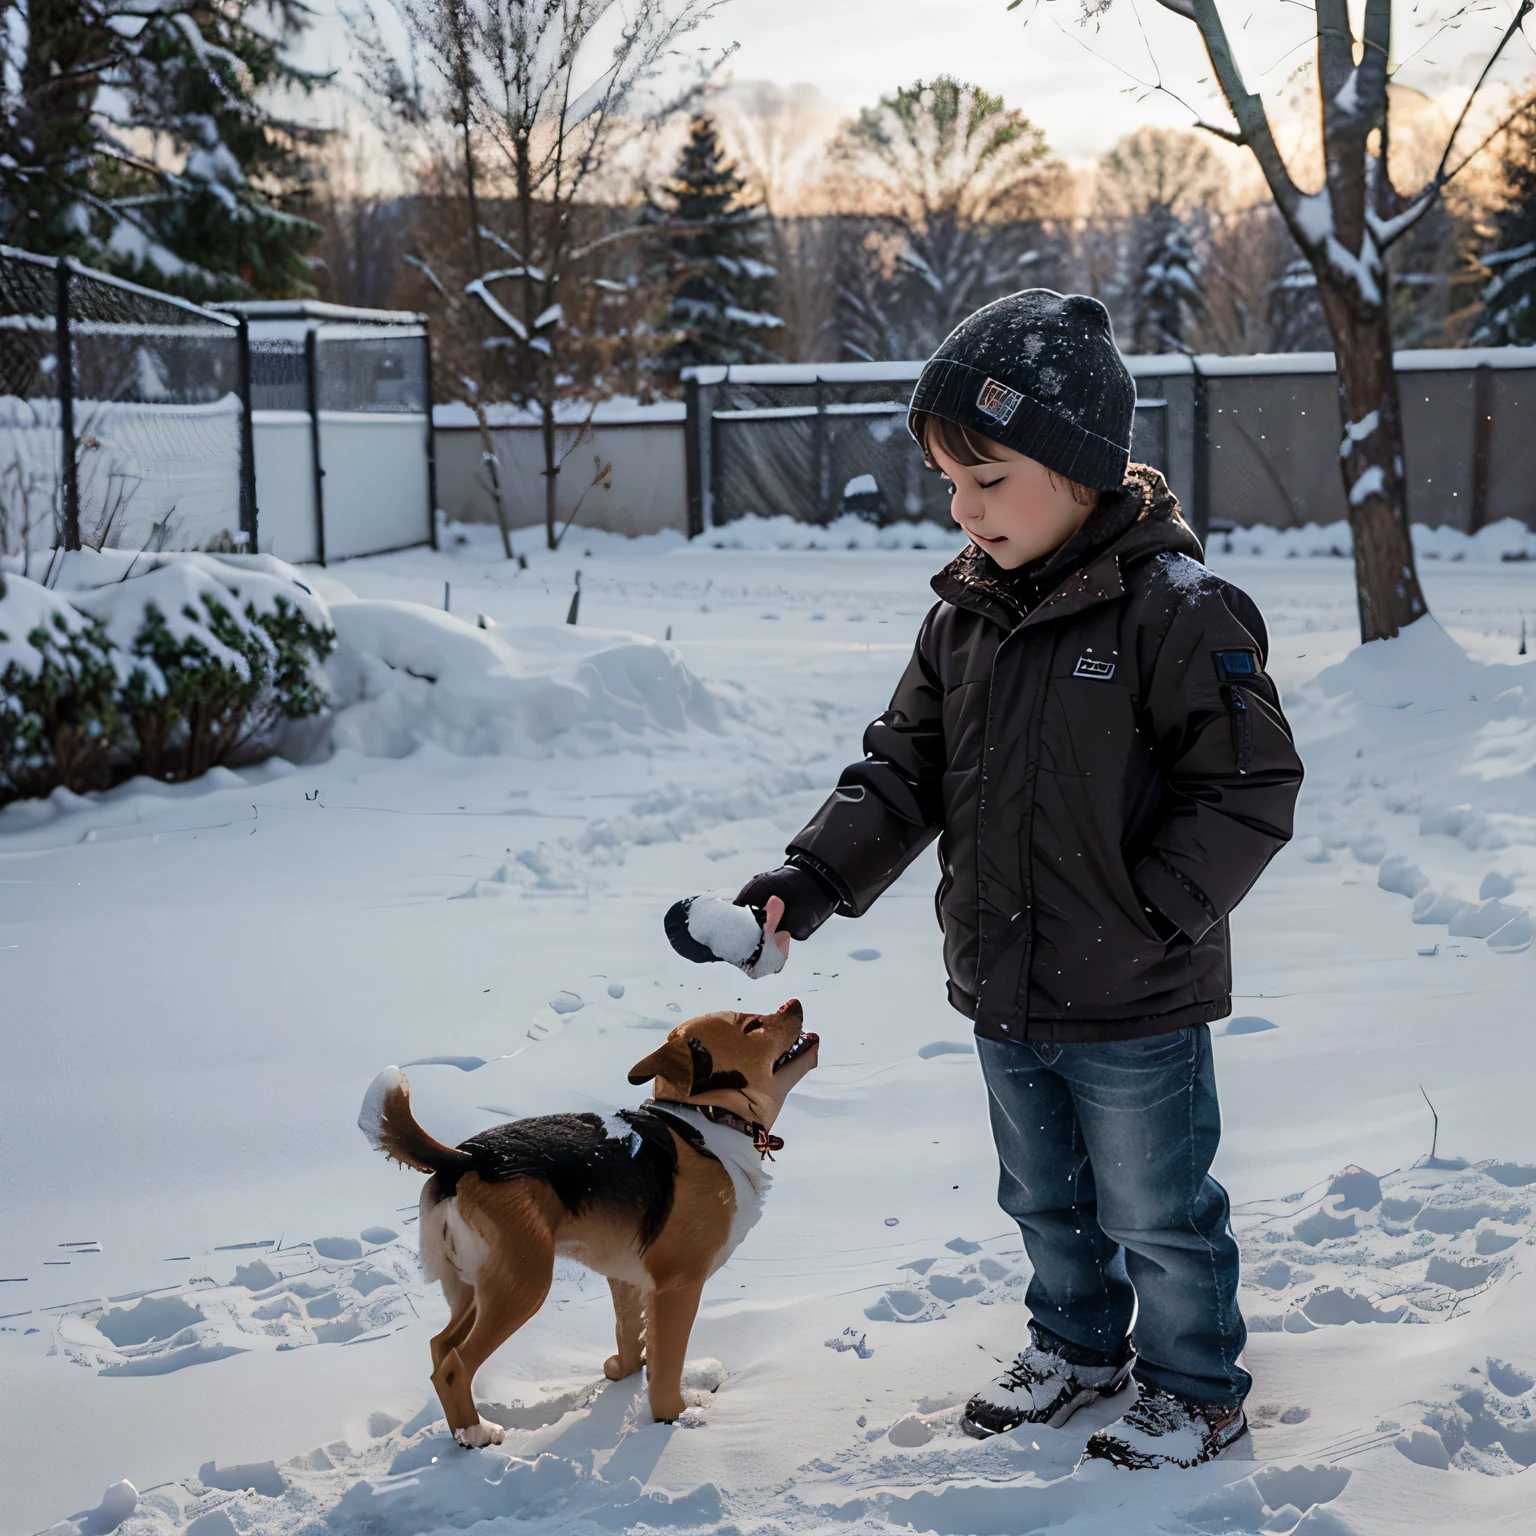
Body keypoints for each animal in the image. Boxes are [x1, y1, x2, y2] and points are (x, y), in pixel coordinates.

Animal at [359, 995, 817, 1437]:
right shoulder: (678, 1286)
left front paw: (622, 1375)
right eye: (752, 1025)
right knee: (456, 1366)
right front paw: (673, 1419)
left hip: (473, 1287)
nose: (794, 1002)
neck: (707, 1120)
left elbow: (630, 1335)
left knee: (440, 1347)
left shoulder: (626, 1277)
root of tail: (465, 1158)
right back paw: (476, 1434)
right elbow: (667, 1366)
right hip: (521, 1285)